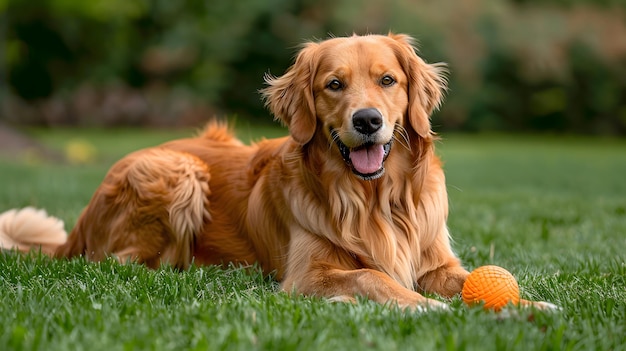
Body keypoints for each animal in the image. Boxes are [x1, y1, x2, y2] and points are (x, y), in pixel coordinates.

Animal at [2, 33, 552, 310]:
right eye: (334, 84)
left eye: (387, 80)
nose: (367, 121)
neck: (372, 199)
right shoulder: (307, 273)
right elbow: (371, 275)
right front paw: (418, 305)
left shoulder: (435, 262)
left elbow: (472, 280)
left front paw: (528, 308)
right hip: (177, 170)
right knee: (120, 264)